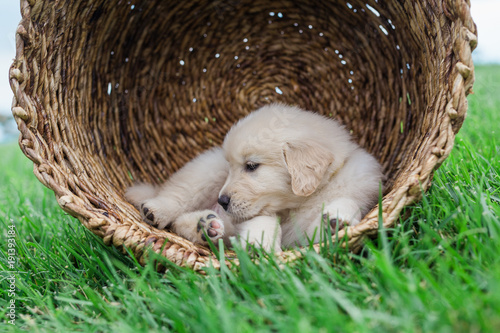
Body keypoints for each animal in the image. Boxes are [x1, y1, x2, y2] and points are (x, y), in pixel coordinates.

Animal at [126, 104, 382, 252]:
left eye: (251, 166)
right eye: (233, 167)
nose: (222, 201)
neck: (300, 202)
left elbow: (341, 209)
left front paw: (339, 218)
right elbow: (265, 220)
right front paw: (261, 243)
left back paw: (207, 225)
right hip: (205, 170)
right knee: (177, 199)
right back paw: (158, 210)